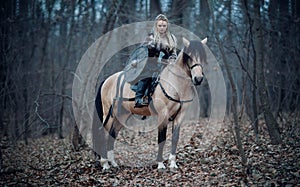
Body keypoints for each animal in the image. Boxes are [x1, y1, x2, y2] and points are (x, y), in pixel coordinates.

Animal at [95, 37, 207, 170]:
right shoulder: (163, 115)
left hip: (121, 115)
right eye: (189, 57)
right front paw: (160, 164)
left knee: (112, 134)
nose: (198, 79)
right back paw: (105, 164)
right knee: (103, 133)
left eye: (203, 57)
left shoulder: (180, 116)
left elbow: (175, 138)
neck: (174, 84)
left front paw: (173, 163)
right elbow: (161, 138)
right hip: (108, 114)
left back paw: (113, 163)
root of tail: (107, 80)